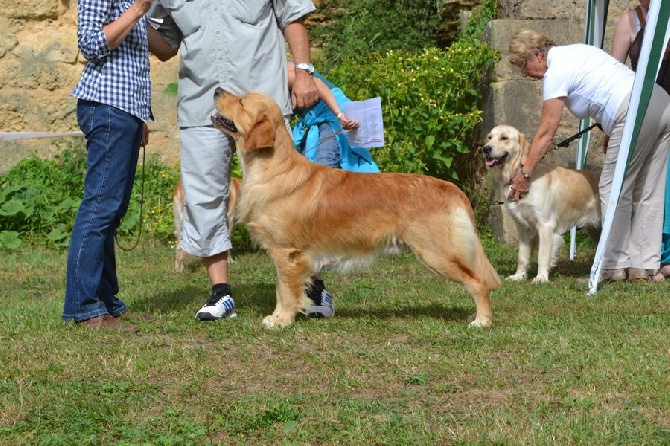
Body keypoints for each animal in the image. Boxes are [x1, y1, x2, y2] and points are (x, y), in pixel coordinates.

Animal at [213, 89, 502, 330]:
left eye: (241, 101)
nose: (216, 89)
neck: (273, 168)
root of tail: (449, 187)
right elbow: (280, 290)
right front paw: (276, 316)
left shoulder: (287, 253)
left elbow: (285, 290)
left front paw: (282, 320)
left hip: (435, 253)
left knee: (478, 282)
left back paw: (481, 320)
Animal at [484, 123, 604, 282]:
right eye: (489, 137)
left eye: (504, 138)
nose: (485, 149)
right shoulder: (523, 226)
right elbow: (522, 255)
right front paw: (519, 275)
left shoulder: (545, 225)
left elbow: (542, 255)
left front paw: (541, 277)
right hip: (594, 230)